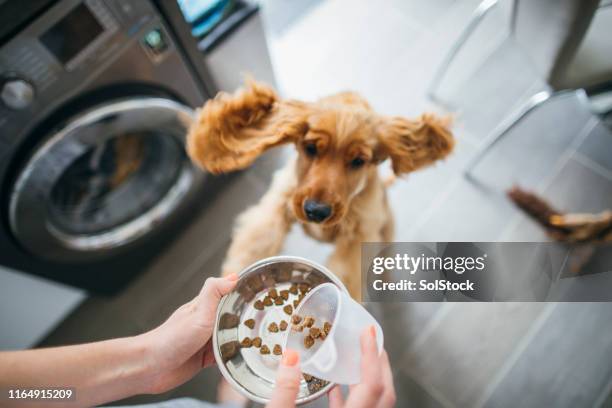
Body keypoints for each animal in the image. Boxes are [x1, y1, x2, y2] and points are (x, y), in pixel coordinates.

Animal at [188, 79, 454, 298]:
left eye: (358, 161)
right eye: (311, 148)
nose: (316, 211)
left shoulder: (358, 235)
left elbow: (347, 272)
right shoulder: (279, 202)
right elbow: (258, 240)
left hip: (386, 225)